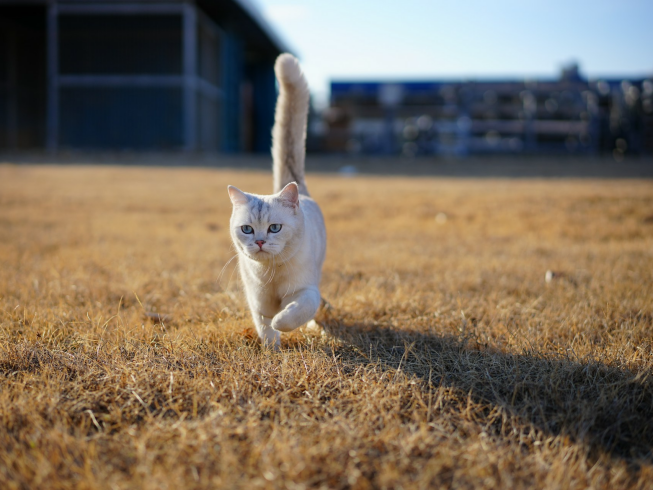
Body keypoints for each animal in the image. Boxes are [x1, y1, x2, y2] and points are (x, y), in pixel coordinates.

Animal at [227, 53, 326, 348]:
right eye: (247, 229)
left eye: (274, 228)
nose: (260, 241)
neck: (271, 275)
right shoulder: (257, 300)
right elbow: (264, 325)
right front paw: (272, 348)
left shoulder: (307, 291)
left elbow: (292, 314)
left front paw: (283, 323)